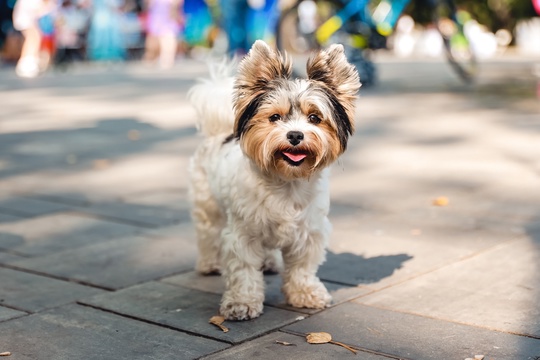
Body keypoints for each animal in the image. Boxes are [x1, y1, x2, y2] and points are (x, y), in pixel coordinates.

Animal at [188, 40, 360, 320]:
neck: (286, 180)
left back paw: (269, 262)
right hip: (207, 205)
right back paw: (209, 263)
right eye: (275, 117)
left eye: (315, 118)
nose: (295, 135)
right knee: (207, 233)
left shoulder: (308, 233)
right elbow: (244, 271)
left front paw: (305, 294)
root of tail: (220, 131)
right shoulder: (243, 235)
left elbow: (302, 269)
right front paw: (242, 302)